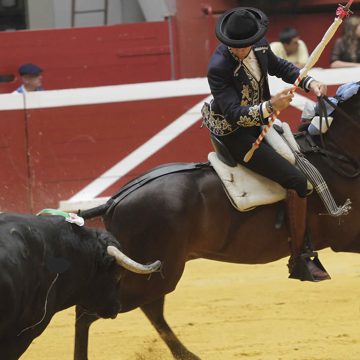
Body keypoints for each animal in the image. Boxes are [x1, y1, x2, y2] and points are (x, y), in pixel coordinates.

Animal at [74, 88, 358, 360]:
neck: (337, 154)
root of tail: (114, 201)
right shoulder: (347, 237)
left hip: (155, 273)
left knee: (150, 309)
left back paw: (187, 355)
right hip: (150, 275)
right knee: (89, 310)